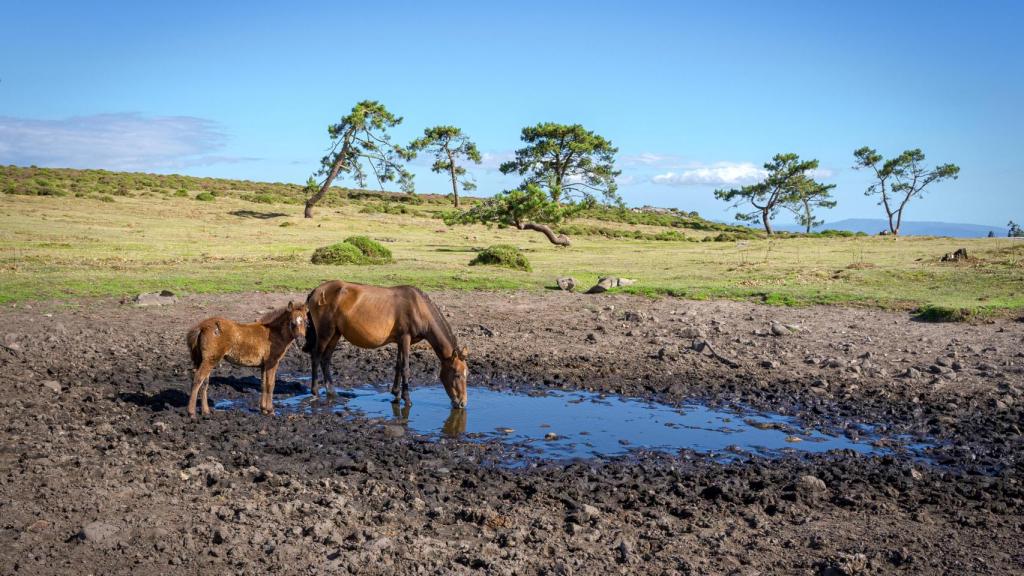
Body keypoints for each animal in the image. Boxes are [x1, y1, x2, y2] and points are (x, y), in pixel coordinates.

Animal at [303, 280, 469, 408]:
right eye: (457, 374)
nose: (462, 403)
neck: (418, 307)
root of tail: (316, 291)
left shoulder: (400, 340)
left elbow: (398, 365)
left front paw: (396, 394)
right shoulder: (405, 338)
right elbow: (405, 368)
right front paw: (406, 399)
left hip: (335, 334)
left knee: (326, 359)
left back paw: (331, 391)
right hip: (326, 333)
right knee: (316, 357)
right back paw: (315, 391)